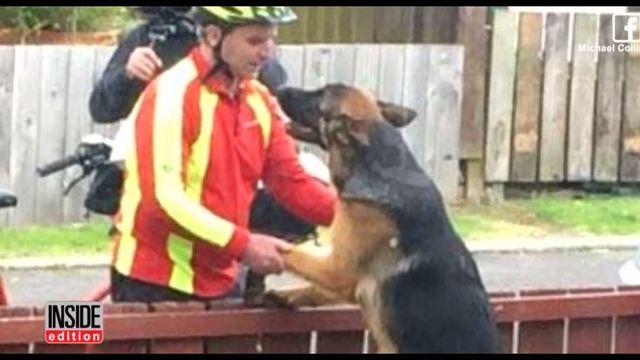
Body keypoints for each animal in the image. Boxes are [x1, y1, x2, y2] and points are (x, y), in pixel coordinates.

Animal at [268, 85, 502, 354]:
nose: (280, 89)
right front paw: (288, 294)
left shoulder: (339, 269)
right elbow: (316, 285)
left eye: (320, 97)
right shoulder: (347, 280)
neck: (377, 164)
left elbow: (293, 254)